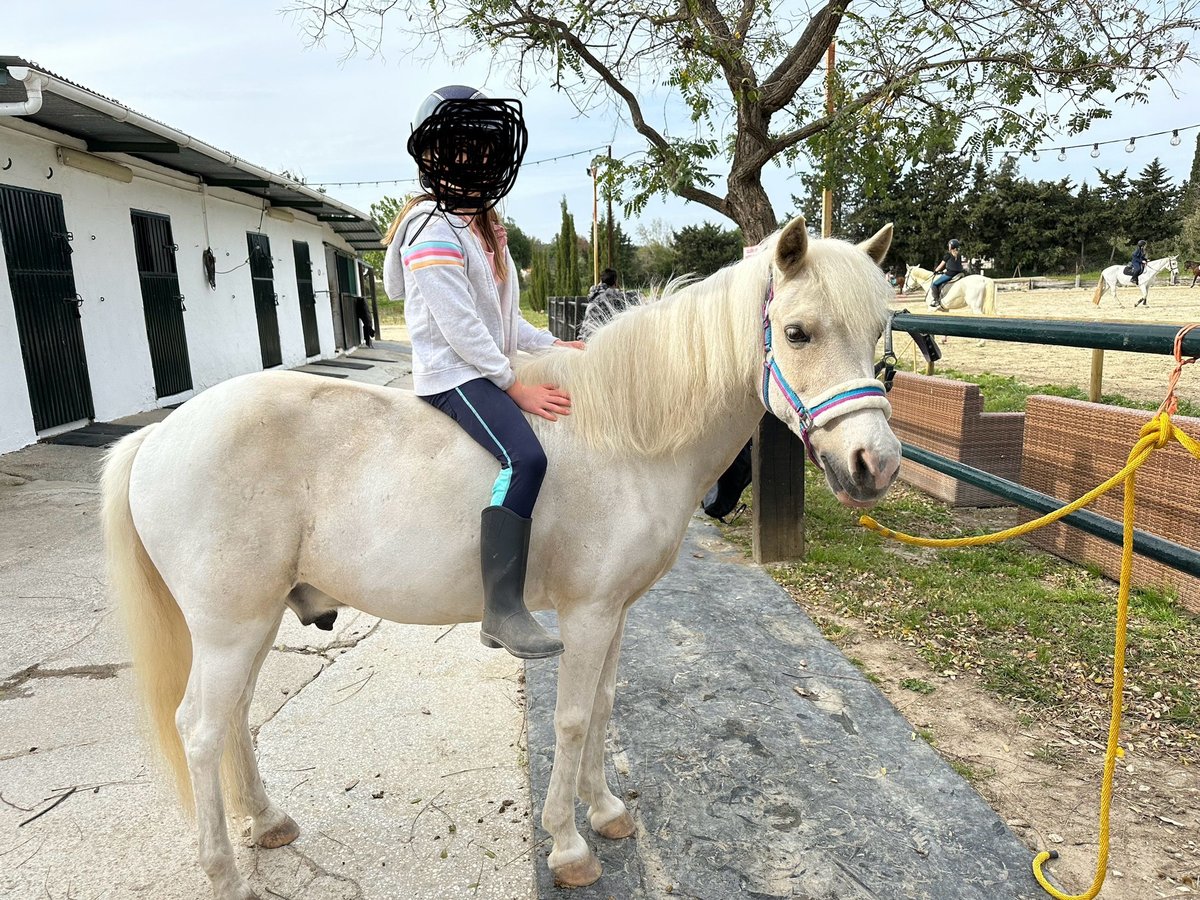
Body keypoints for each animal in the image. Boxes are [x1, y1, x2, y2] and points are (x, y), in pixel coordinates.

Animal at [103, 218, 902, 900]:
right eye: (797, 332)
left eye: (878, 334)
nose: (876, 464)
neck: (626, 436)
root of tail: (159, 436)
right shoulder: (586, 615)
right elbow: (573, 718)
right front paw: (569, 847)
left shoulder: (615, 614)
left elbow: (603, 706)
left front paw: (605, 810)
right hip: (230, 627)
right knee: (200, 731)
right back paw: (224, 874)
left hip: (254, 622)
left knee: (234, 716)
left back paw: (266, 823)